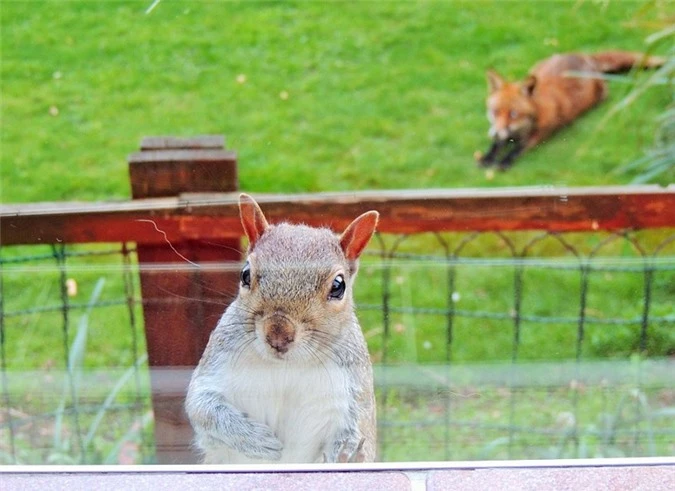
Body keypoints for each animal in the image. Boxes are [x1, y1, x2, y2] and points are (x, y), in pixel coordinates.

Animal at [185, 193, 380, 466]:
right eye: (245, 274)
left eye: (338, 286)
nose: (278, 334)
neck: (288, 365)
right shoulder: (216, 364)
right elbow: (202, 406)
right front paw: (257, 440)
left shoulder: (356, 393)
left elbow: (362, 437)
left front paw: (346, 457)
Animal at [478, 51, 668, 171]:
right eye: (495, 112)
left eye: (513, 114)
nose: (496, 132)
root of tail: (585, 56)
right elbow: (496, 145)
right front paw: (488, 157)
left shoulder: (538, 135)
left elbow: (517, 149)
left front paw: (504, 161)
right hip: (537, 68)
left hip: (601, 95)